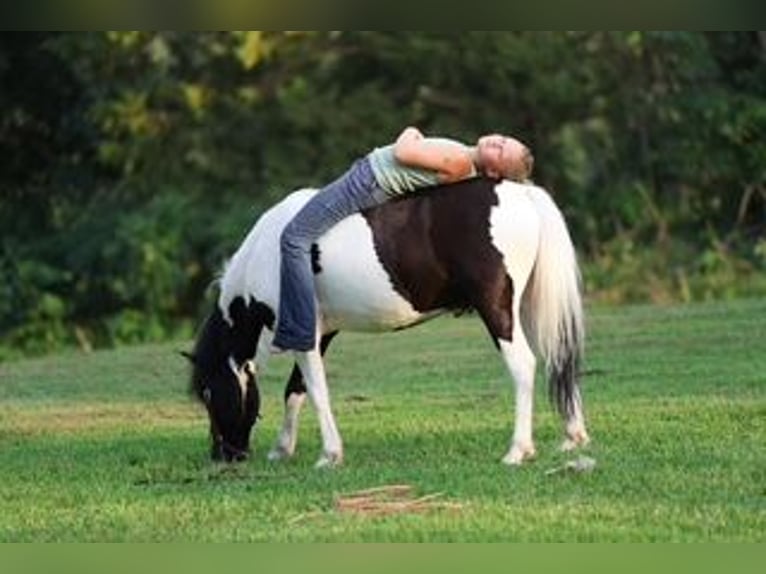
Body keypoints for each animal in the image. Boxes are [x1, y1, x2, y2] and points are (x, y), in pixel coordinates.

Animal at [185, 177, 589, 467]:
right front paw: (283, 450)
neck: (268, 253)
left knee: (523, 366)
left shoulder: (305, 336)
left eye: (208, 392)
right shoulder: (319, 334)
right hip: (527, 308)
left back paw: (518, 450)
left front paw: (329, 455)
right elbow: (295, 391)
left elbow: (316, 391)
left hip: (497, 310)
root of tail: (521, 192)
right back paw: (573, 436)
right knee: (557, 359)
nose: (224, 456)